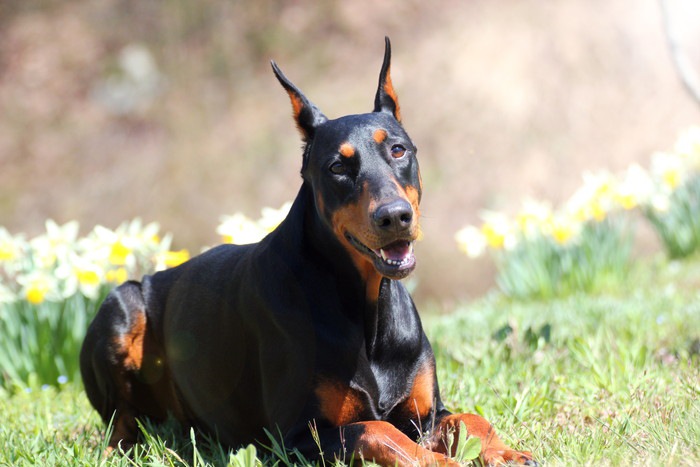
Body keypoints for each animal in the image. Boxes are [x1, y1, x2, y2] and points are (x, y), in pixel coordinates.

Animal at [80, 38, 536, 466]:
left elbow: (471, 418)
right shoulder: (293, 438)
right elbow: (378, 430)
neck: (365, 308)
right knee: (119, 423)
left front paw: (506, 453)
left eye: (398, 149)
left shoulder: (427, 414)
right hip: (122, 305)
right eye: (337, 166)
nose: (395, 216)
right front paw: (440, 461)